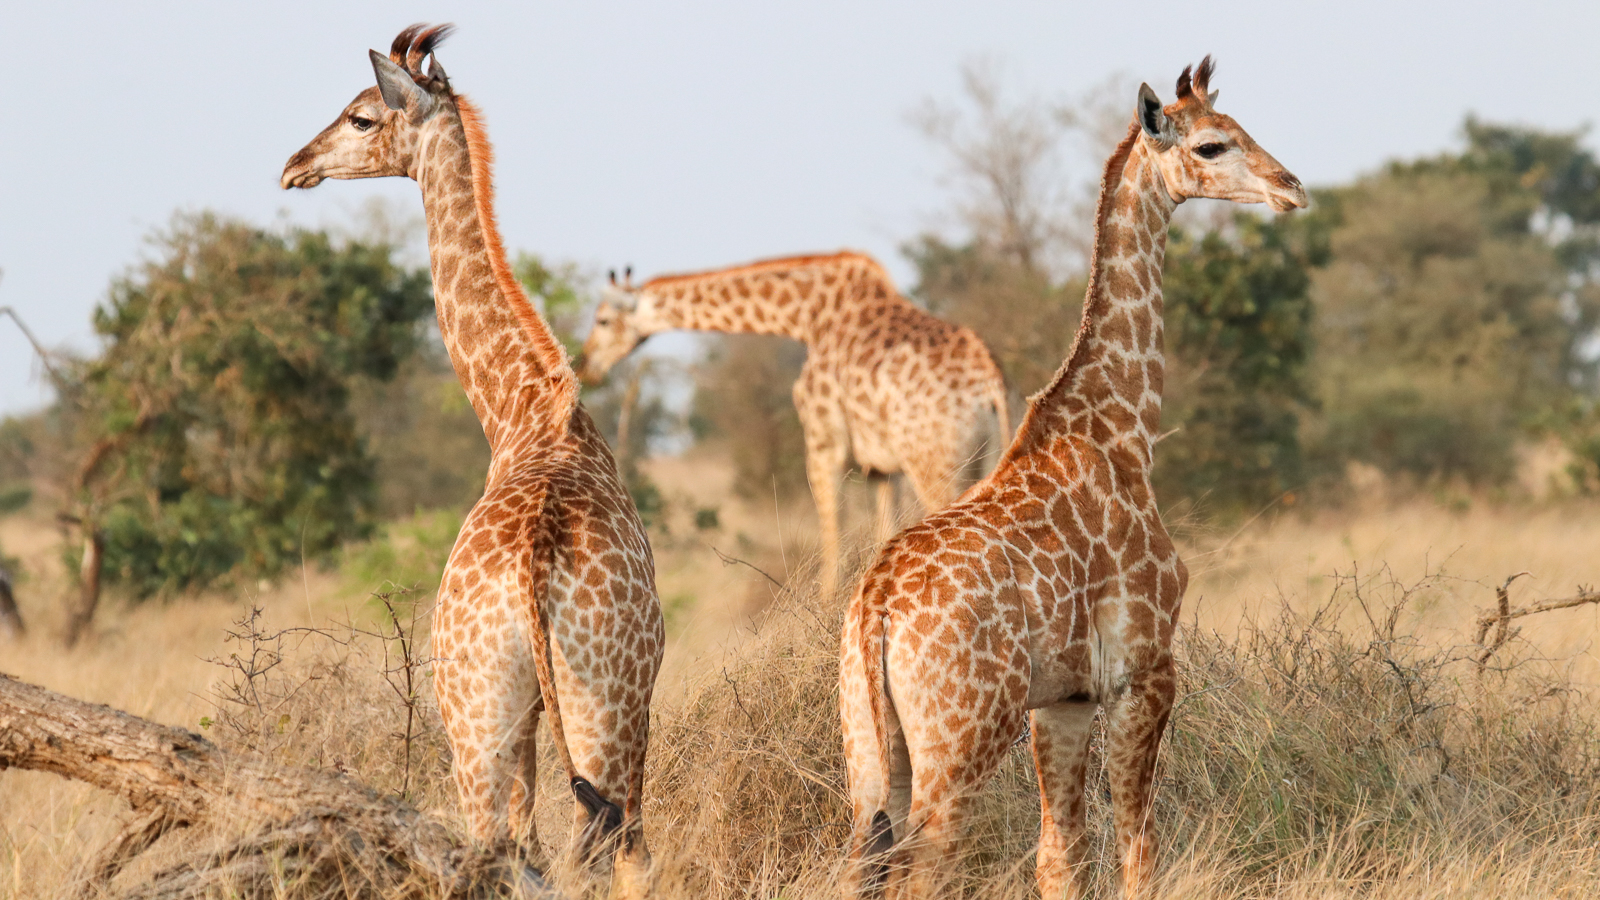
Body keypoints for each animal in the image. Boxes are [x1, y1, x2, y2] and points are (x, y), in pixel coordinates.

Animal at [281, 25, 663, 894]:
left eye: (361, 116)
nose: (293, 166)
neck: (521, 412)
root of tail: (535, 568)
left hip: (486, 715)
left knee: (516, 849)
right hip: (590, 707)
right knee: (603, 848)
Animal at [579, 251, 1010, 598]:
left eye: (602, 320)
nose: (586, 367)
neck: (808, 316)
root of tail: (991, 386)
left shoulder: (823, 440)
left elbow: (833, 533)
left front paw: (826, 603)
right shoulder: (879, 463)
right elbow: (883, 530)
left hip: (936, 463)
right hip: (984, 458)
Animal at [837, 58, 1306, 899]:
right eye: (1213, 145)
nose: (1292, 187)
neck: (1121, 432)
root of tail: (876, 611)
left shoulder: (1063, 698)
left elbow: (1061, 855)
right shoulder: (1142, 671)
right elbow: (1138, 847)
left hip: (869, 749)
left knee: (863, 859)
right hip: (959, 740)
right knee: (925, 865)